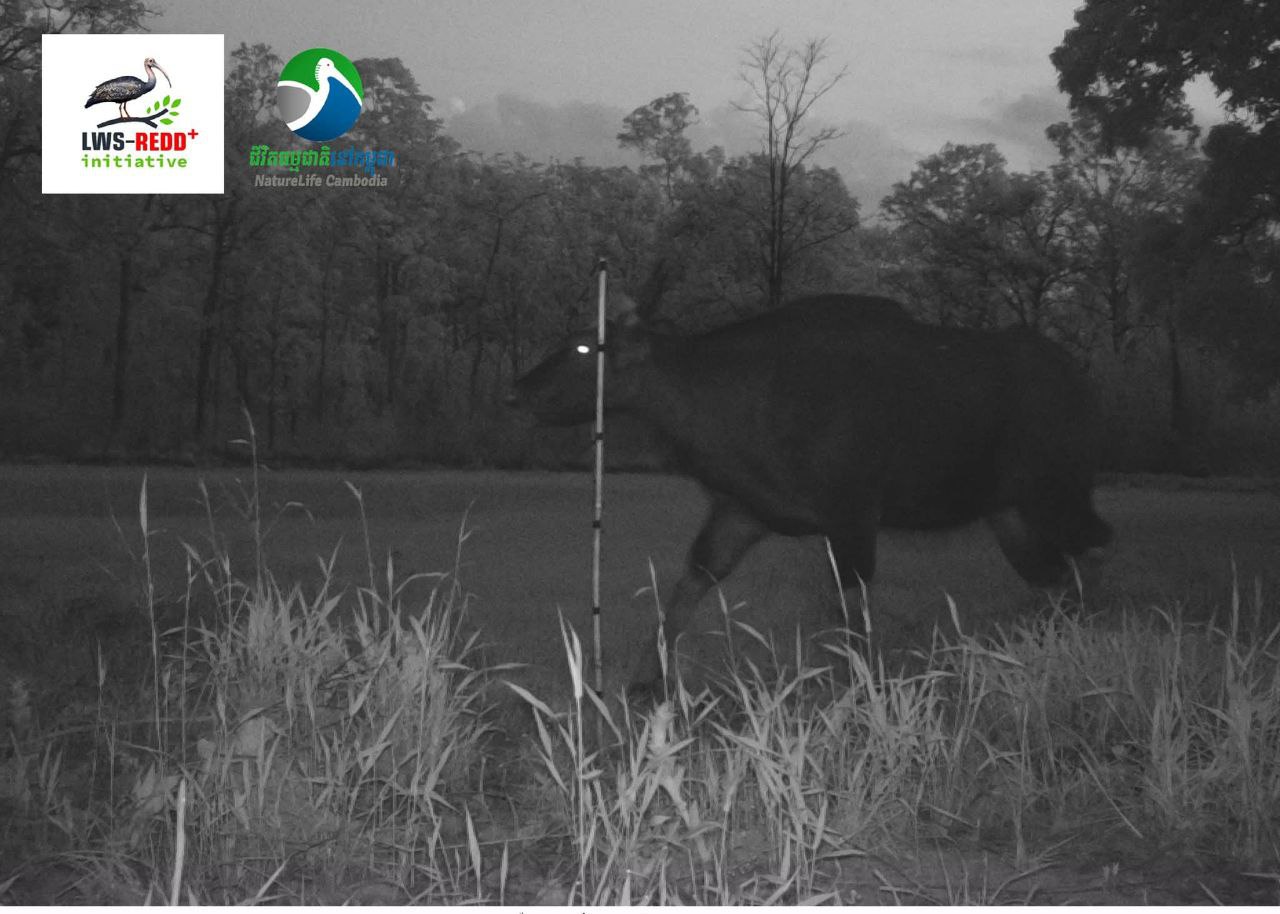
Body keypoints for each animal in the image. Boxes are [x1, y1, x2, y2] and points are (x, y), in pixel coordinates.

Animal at [508, 292, 1112, 690]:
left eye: (584, 347)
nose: (517, 390)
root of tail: (1088, 388)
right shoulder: (744, 510)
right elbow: (691, 581)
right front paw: (644, 681)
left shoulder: (853, 507)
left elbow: (853, 610)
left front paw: (863, 689)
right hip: (1008, 510)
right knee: (1056, 571)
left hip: (1057, 488)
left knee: (1095, 545)